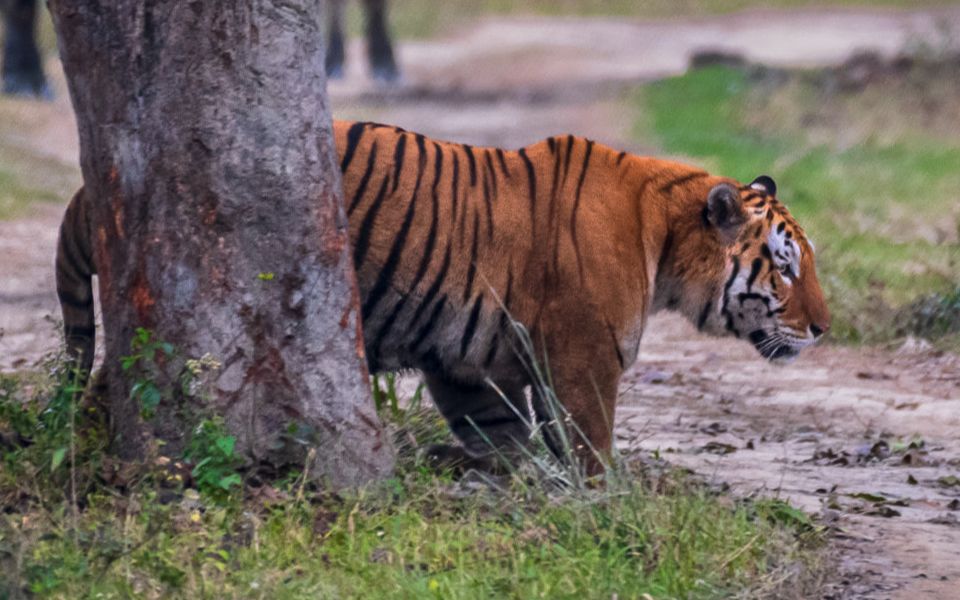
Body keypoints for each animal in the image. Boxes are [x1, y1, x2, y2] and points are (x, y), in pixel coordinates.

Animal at [56, 122, 828, 476]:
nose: (824, 330)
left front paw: (524, 490)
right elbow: (590, 443)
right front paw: (604, 504)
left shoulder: (468, 365)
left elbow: (507, 438)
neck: (665, 240)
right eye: (786, 267)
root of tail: (90, 187)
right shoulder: (584, 357)